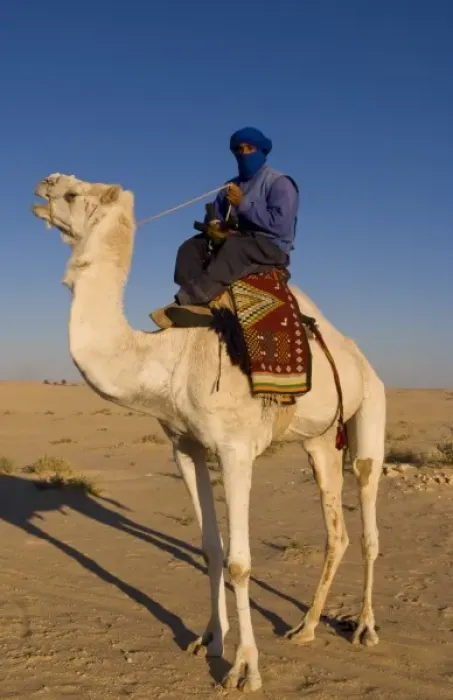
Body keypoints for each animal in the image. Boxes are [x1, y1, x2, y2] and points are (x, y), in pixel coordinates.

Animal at [31, 174, 386, 693]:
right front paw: (209, 640)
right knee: (335, 531)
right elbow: (211, 549)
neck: (169, 357)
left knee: (366, 514)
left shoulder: (235, 449)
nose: (44, 184)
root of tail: (361, 358)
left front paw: (245, 669)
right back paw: (305, 627)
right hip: (319, 440)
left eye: (76, 194)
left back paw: (363, 627)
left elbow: (240, 562)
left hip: (371, 409)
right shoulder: (186, 446)